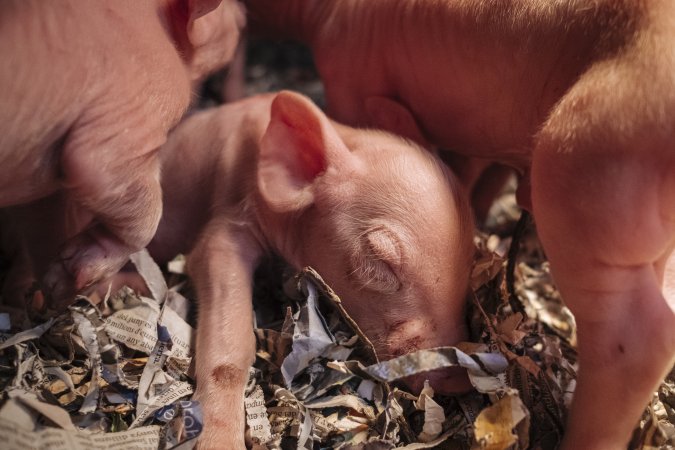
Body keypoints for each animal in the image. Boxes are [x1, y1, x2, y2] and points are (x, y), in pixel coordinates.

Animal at [0, 0, 245, 306]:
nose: (243, 14)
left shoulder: (36, 187)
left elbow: (42, 228)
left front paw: (56, 289)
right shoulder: (136, 113)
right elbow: (142, 208)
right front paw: (79, 275)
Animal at [244, 1, 675, 448]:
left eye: (377, 260)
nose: (453, 378)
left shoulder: (349, 70)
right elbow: (474, 176)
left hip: (582, 176)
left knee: (639, 339)